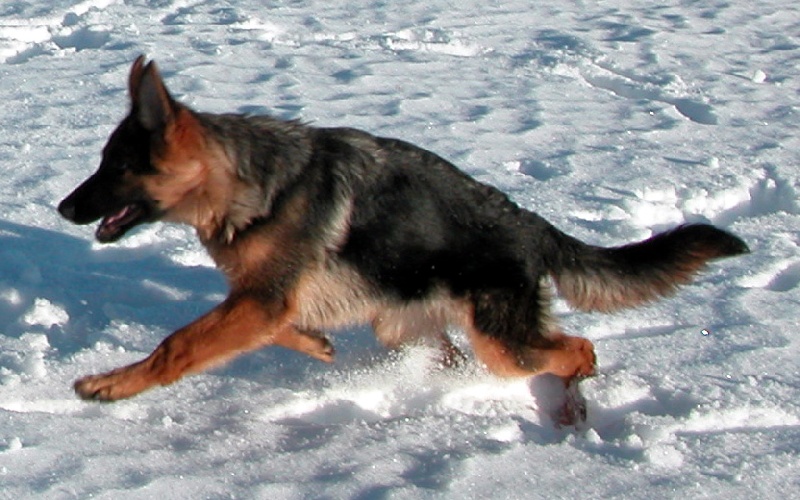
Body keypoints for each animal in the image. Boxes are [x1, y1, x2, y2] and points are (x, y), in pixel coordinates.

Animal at [58, 56, 748, 424]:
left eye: (113, 168)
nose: (62, 207)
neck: (248, 181)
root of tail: (530, 223)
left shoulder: (260, 298)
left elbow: (176, 345)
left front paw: (112, 385)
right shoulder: (263, 300)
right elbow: (280, 325)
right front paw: (315, 341)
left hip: (504, 344)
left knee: (576, 349)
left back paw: (572, 408)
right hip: (403, 321)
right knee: (460, 356)